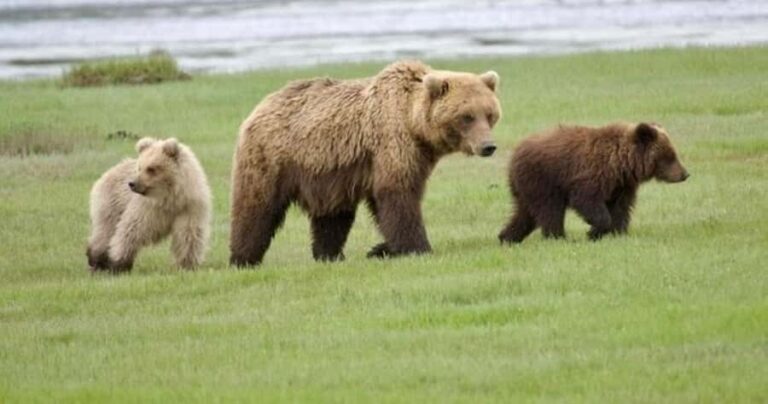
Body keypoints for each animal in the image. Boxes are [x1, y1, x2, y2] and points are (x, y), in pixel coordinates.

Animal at [87, 137, 212, 272]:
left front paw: (187, 265)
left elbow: (188, 235)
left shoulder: (189, 208)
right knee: (105, 231)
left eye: (151, 168)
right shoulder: (148, 209)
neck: (170, 199)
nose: (132, 183)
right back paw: (96, 260)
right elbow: (131, 230)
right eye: (139, 167)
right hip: (111, 203)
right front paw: (119, 263)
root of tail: (111, 169)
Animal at [230, 60, 502, 266]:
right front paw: (418, 247)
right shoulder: (392, 142)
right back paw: (243, 258)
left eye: (490, 114)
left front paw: (382, 248)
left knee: (333, 216)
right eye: (467, 116)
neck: (414, 124)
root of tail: (259, 106)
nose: (488, 146)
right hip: (272, 157)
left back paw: (329, 255)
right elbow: (398, 195)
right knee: (256, 206)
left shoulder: (414, 155)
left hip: (328, 173)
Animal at [498, 122, 688, 243]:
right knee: (550, 211)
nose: (685, 174)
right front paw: (594, 232)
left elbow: (621, 209)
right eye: (670, 155)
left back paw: (506, 237)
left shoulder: (621, 186)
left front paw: (618, 233)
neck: (622, 165)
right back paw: (559, 237)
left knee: (525, 214)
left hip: (526, 188)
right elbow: (588, 202)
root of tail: (515, 154)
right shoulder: (592, 176)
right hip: (543, 181)